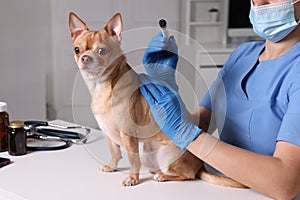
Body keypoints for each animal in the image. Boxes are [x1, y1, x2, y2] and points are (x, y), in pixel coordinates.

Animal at [68, 12, 246, 188]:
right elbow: (115, 153)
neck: (101, 86)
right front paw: (112, 167)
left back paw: (163, 176)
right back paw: (156, 171)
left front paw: (132, 178)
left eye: (102, 51)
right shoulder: (108, 134)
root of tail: (200, 165)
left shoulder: (128, 135)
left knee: (187, 175)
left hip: (168, 156)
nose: (85, 57)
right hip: (148, 151)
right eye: (77, 50)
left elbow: (133, 160)